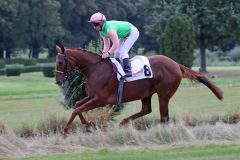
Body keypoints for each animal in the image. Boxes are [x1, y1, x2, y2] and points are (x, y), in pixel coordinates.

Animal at [54, 44, 223, 135]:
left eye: (61, 62)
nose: (58, 81)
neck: (95, 69)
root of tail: (176, 64)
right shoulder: (92, 97)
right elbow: (77, 106)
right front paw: (89, 125)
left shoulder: (100, 99)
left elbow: (77, 109)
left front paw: (65, 130)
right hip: (146, 93)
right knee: (147, 110)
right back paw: (123, 122)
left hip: (164, 94)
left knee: (163, 117)